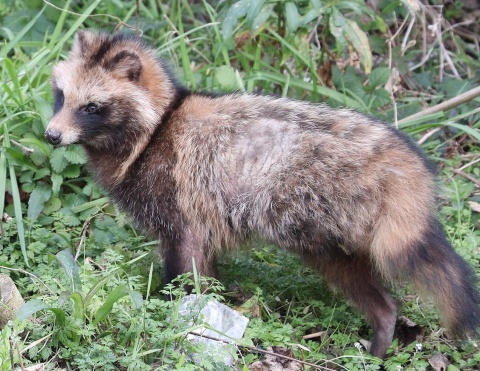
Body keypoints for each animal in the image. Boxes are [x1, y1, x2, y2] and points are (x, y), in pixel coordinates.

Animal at [44, 30, 476, 358]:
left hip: (324, 227)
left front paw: (172, 312)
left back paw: (381, 331)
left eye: (92, 107)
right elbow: (207, 274)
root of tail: (402, 159)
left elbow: (185, 273)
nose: (51, 135)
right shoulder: (202, 215)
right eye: (61, 96)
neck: (159, 124)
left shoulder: (181, 204)